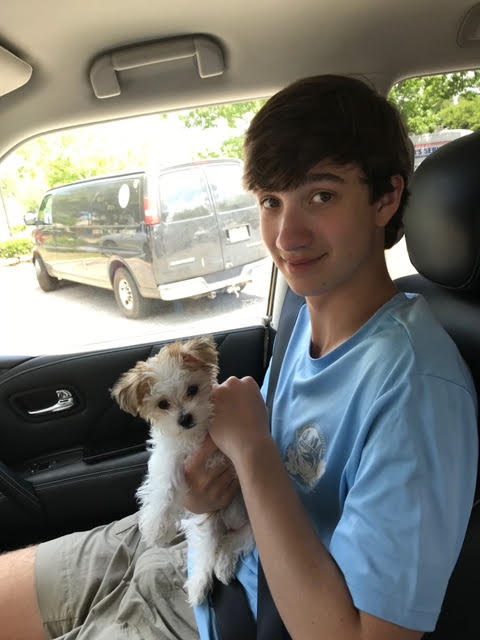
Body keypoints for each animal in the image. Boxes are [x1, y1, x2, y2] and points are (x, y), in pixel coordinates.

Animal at [111, 335, 254, 605]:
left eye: (192, 390)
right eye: (162, 404)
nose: (185, 418)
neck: (194, 436)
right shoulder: (169, 457)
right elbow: (165, 484)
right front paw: (157, 526)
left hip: (247, 528)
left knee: (231, 542)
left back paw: (221, 566)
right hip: (208, 522)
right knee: (209, 550)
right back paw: (201, 583)